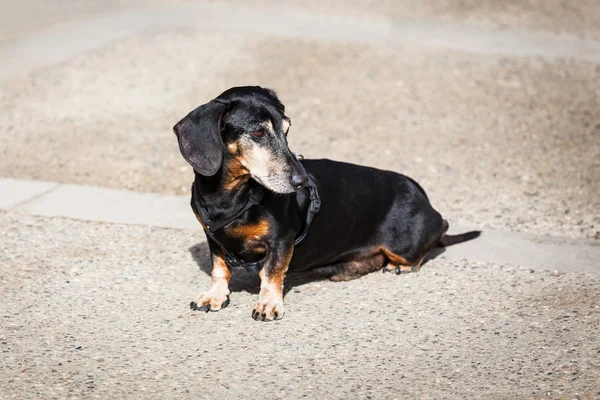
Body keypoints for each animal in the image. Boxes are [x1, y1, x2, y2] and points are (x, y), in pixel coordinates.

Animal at [172, 86, 478, 320]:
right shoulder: (212, 236)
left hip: (405, 241)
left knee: (437, 232)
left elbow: (271, 272)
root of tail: (419, 191)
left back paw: (402, 263)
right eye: (258, 133)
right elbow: (219, 267)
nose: (301, 181)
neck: (233, 196)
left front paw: (269, 304)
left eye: (286, 130)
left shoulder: (281, 240)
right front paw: (214, 296)